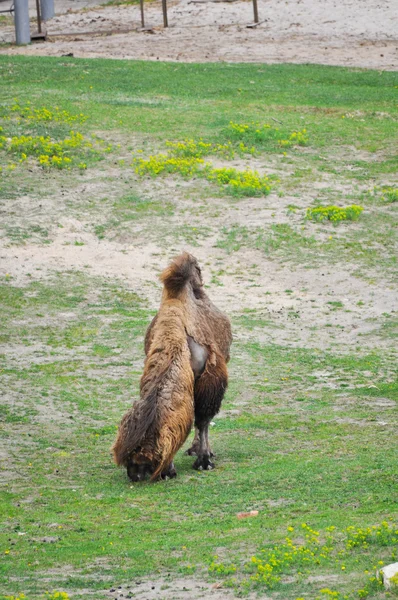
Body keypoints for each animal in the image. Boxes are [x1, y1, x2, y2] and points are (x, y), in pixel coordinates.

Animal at [112, 253, 232, 482]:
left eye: (141, 451)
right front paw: (170, 469)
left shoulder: (209, 379)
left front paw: (204, 461)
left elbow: (202, 419)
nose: (135, 474)